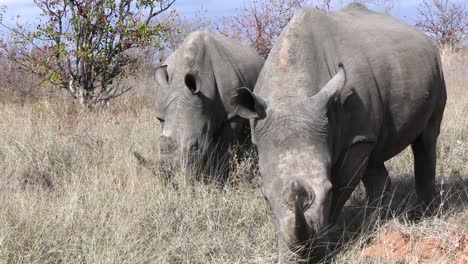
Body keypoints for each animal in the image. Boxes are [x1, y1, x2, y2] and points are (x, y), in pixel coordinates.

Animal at [138, 29, 264, 182]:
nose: (173, 183)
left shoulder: (233, 115)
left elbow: (225, 150)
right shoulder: (163, 116)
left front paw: (220, 178)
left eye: (195, 146)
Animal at [230, 4, 446, 262]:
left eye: (328, 190)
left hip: (436, 68)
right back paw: (378, 224)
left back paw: (426, 211)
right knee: (374, 156)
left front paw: (329, 245)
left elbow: (343, 186)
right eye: (264, 197)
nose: (304, 258)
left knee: (426, 139)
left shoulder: (354, 139)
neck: (290, 93)